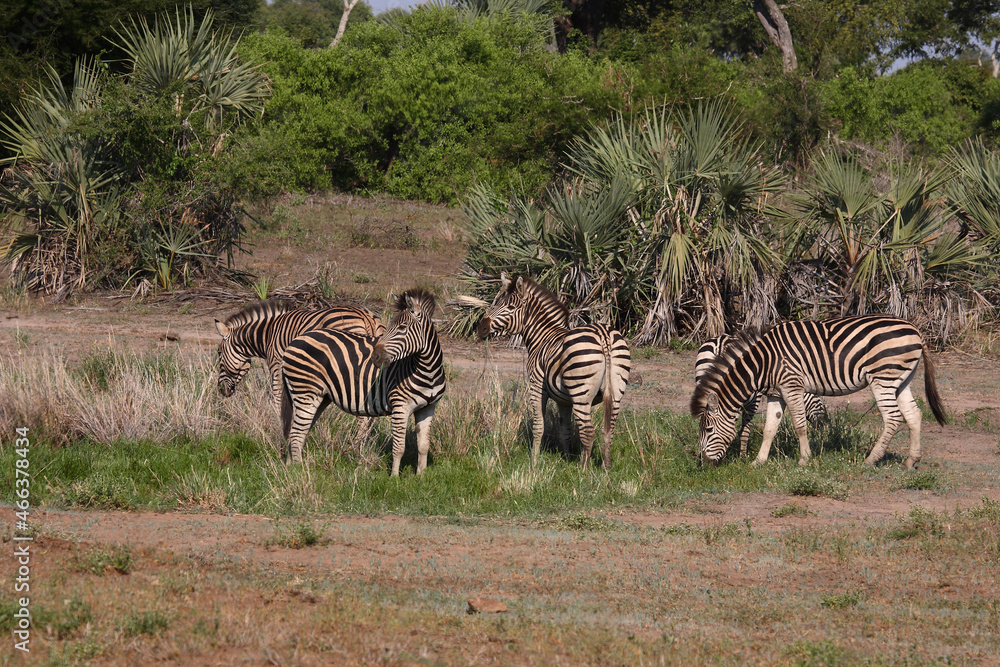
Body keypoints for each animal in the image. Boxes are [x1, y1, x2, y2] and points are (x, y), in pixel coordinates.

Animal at [215, 299, 385, 410]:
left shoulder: (276, 363)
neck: (267, 334)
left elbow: (277, 394)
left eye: (218, 353)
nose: (221, 391)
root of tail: (365, 316)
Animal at [279, 289, 446, 474]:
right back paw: (299, 470)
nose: (375, 356)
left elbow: (423, 445)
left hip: (320, 397)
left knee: (297, 431)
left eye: (402, 328)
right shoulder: (400, 406)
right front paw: (394, 477)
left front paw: (420, 476)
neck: (428, 371)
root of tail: (295, 340)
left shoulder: (428, 407)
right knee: (296, 433)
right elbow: (398, 447)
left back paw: (290, 466)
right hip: (306, 392)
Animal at [476, 274, 631, 469]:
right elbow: (565, 429)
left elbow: (538, 425)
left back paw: (584, 469)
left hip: (581, 393)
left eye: (510, 307)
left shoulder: (537, 387)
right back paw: (606, 466)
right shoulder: (564, 400)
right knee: (608, 429)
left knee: (588, 431)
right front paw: (566, 458)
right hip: (616, 391)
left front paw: (534, 461)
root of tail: (604, 335)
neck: (542, 336)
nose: (480, 328)